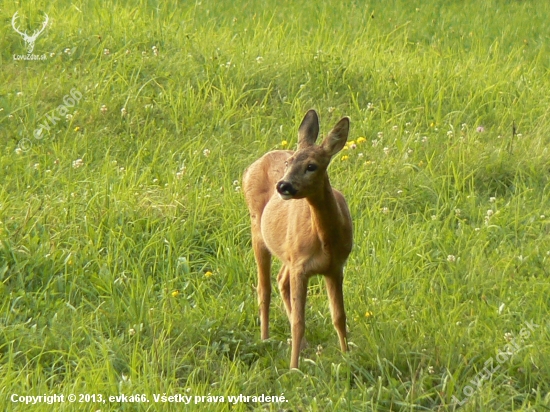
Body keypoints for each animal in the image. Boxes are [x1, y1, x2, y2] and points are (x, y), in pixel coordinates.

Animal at [245, 108, 354, 366]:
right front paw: (294, 368)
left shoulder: (335, 267)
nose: (283, 185)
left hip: (287, 253)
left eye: (312, 166)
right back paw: (265, 339)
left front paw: (347, 357)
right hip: (257, 230)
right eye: (289, 162)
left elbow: (339, 316)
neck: (326, 241)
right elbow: (298, 322)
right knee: (264, 288)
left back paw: (302, 345)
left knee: (280, 280)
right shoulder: (301, 268)